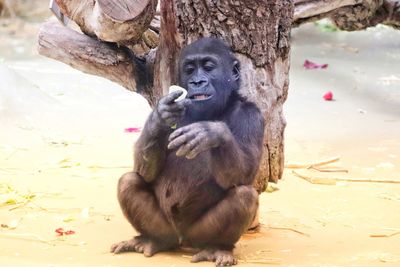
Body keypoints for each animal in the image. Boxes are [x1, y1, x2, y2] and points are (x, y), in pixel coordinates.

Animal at [111, 37, 264, 266]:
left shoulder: (252, 116)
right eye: (190, 69)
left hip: (198, 235)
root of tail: (182, 241)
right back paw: (150, 239)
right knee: (128, 181)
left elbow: (246, 172)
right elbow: (145, 170)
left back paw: (218, 248)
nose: (197, 82)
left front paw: (211, 133)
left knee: (244, 195)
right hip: (167, 230)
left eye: (208, 67)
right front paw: (160, 118)